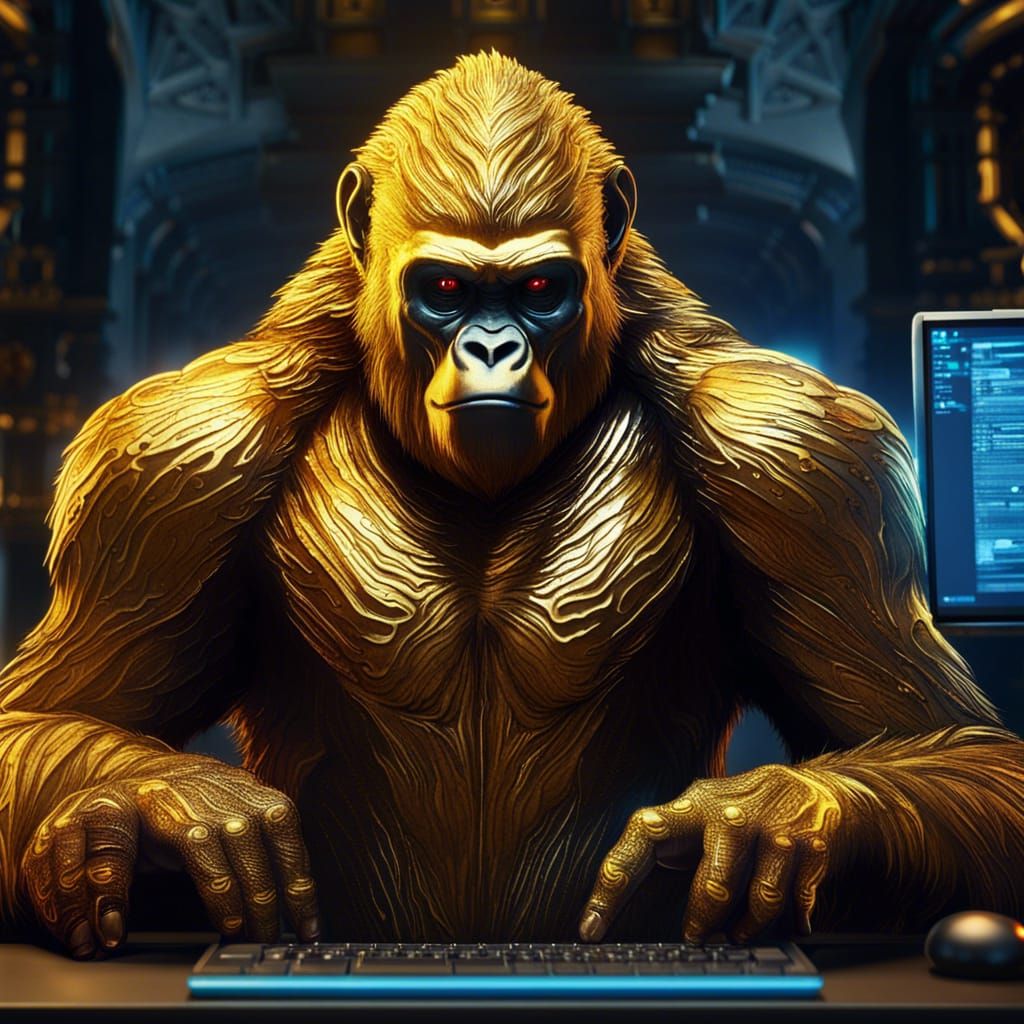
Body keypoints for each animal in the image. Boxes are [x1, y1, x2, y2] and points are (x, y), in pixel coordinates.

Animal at [0, 52, 1022, 959]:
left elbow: (960, 746)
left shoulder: (804, 457)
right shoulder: (168, 457)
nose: (493, 349)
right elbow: (45, 712)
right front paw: (151, 810)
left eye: (538, 290)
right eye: (447, 290)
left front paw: (768, 814)